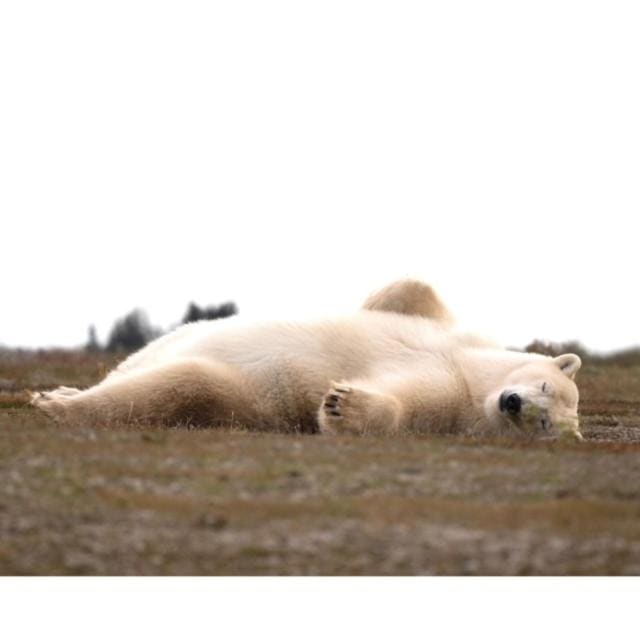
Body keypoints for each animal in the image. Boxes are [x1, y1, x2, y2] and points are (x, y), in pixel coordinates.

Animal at [31, 279, 583, 441]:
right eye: (546, 388)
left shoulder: (448, 401)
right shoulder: (460, 341)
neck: (475, 379)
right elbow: (413, 292)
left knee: (184, 381)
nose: (514, 404)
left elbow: (395, 406)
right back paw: (65, 390)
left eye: (547, 423)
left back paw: (54, 404)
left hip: (238, 392)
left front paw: (342, 402)